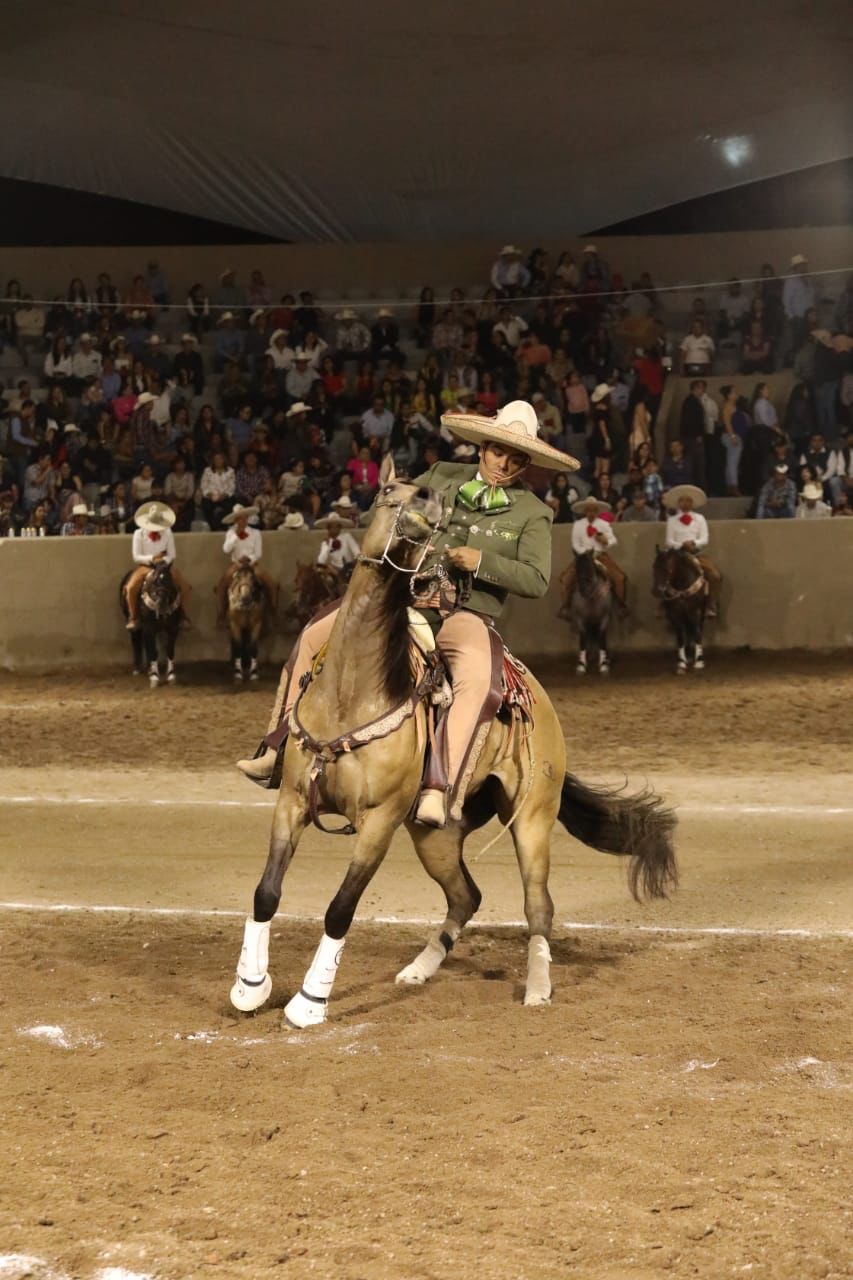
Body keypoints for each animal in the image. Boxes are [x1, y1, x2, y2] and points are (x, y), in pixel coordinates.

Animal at [650, 545, 701, 675]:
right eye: (654, 566)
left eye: (667, 568)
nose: (656, 590)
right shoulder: (675, 615)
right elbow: (680, 638)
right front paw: (681, 664)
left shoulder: (696, 612)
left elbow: (697, 633)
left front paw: (699, 662)